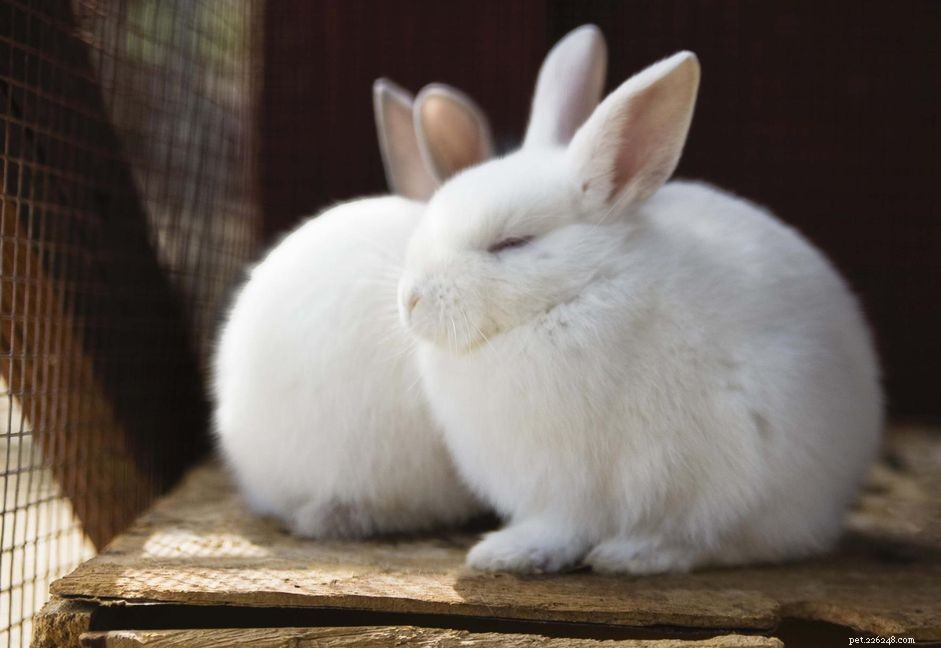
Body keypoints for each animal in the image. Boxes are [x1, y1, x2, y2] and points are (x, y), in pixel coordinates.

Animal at [397, 48, 883, 574]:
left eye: (511, 243)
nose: (410, 299)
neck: (578, 293)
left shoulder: (574, 480)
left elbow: (565, 525)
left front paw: (507, 553)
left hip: (755, 475)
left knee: (729, 539)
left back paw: (634, 554)